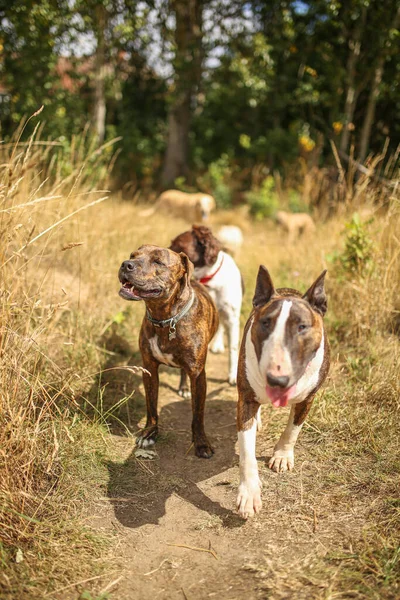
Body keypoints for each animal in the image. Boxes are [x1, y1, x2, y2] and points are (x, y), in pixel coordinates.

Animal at [118, 246, 219, 458]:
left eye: (158, 262)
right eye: (133, 256)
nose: (125, 264)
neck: (165, 318)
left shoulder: (198, 374)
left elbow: (198, 415)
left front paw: (201, 443)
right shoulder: (149, 369)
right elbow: (151, 406)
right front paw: (149, 433)